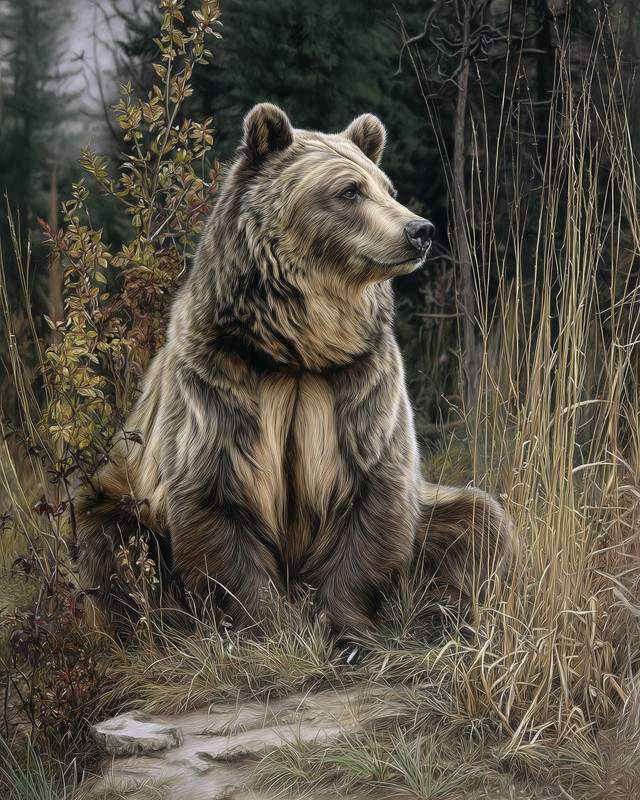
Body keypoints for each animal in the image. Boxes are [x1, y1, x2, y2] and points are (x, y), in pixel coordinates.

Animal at [73, 103, 510, 646]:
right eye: (349, 190)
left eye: (387, 187)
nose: (420, 230)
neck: (300, 347)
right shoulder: (219, 381)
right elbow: (215, 502)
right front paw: (266, 625)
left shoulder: (361, 380)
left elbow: (375, 496)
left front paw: (346, 631)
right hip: (124, 492)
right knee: (112, 540)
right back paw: (160, 627)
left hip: (434, 507)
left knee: (479, 522)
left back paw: (448, 607)